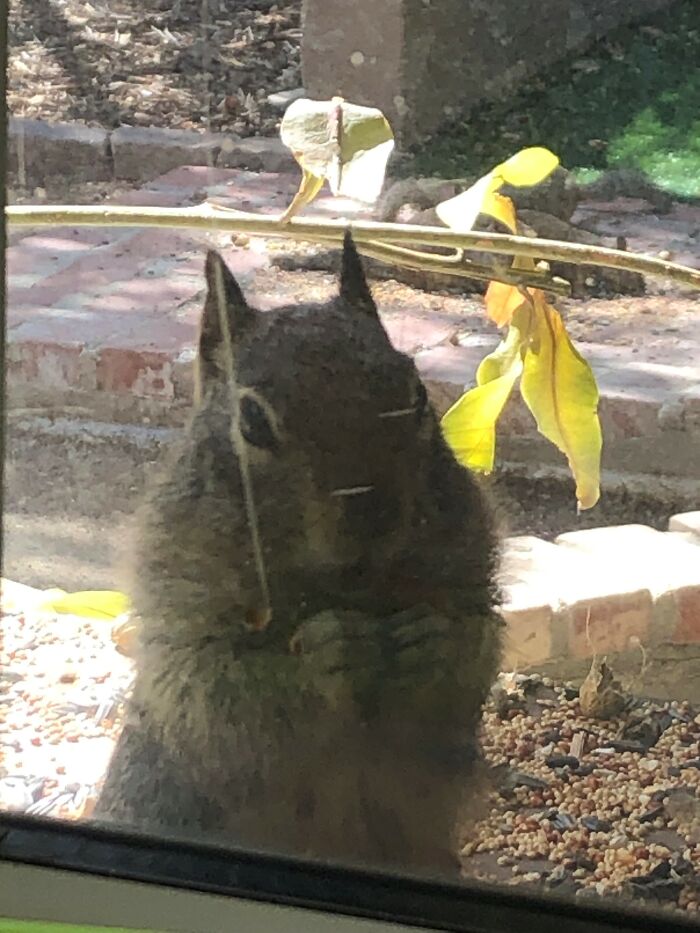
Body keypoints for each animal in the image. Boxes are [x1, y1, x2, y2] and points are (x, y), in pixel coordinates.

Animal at [93, 232, 502, 878]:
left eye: (416, 393)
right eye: (251, 421)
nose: (373, 518)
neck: (346, 587)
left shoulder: (471, 571)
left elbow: (476, 653)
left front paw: (435, 641)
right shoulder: (179, 611)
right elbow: (221, 695)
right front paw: (327, 654)